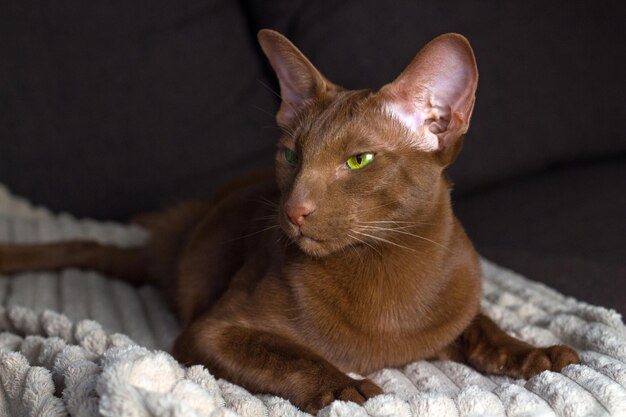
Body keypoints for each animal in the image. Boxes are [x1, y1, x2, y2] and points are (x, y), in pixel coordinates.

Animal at [0, 30, 576, 412]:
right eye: (291, 156)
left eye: (359, 161)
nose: (293, 209)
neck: (385, 272)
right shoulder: (211, 331)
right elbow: (292, 356)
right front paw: (347, 388)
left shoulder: (459, 303)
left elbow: (483, 324)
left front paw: (533, 353)